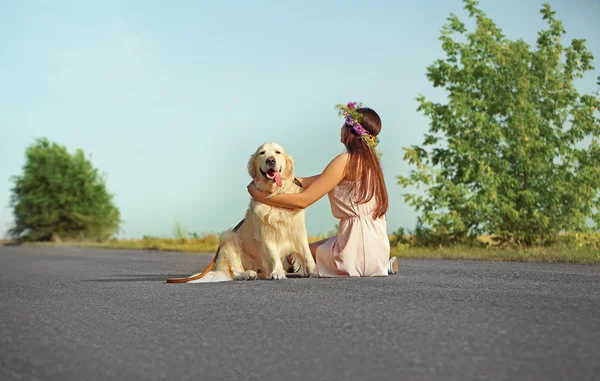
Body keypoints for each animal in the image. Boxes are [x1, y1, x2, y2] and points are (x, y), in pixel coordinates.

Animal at [185, 141, 318, 280]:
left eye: (278, 152)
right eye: (262, 153)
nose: (270, 160)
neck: (275, 195)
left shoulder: (298, 230)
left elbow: (307, 254)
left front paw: (314, 271)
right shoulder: (265, 233)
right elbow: (273, 255)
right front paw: (277, 272)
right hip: (229, 237)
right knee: (235, 271)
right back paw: (248, 274)